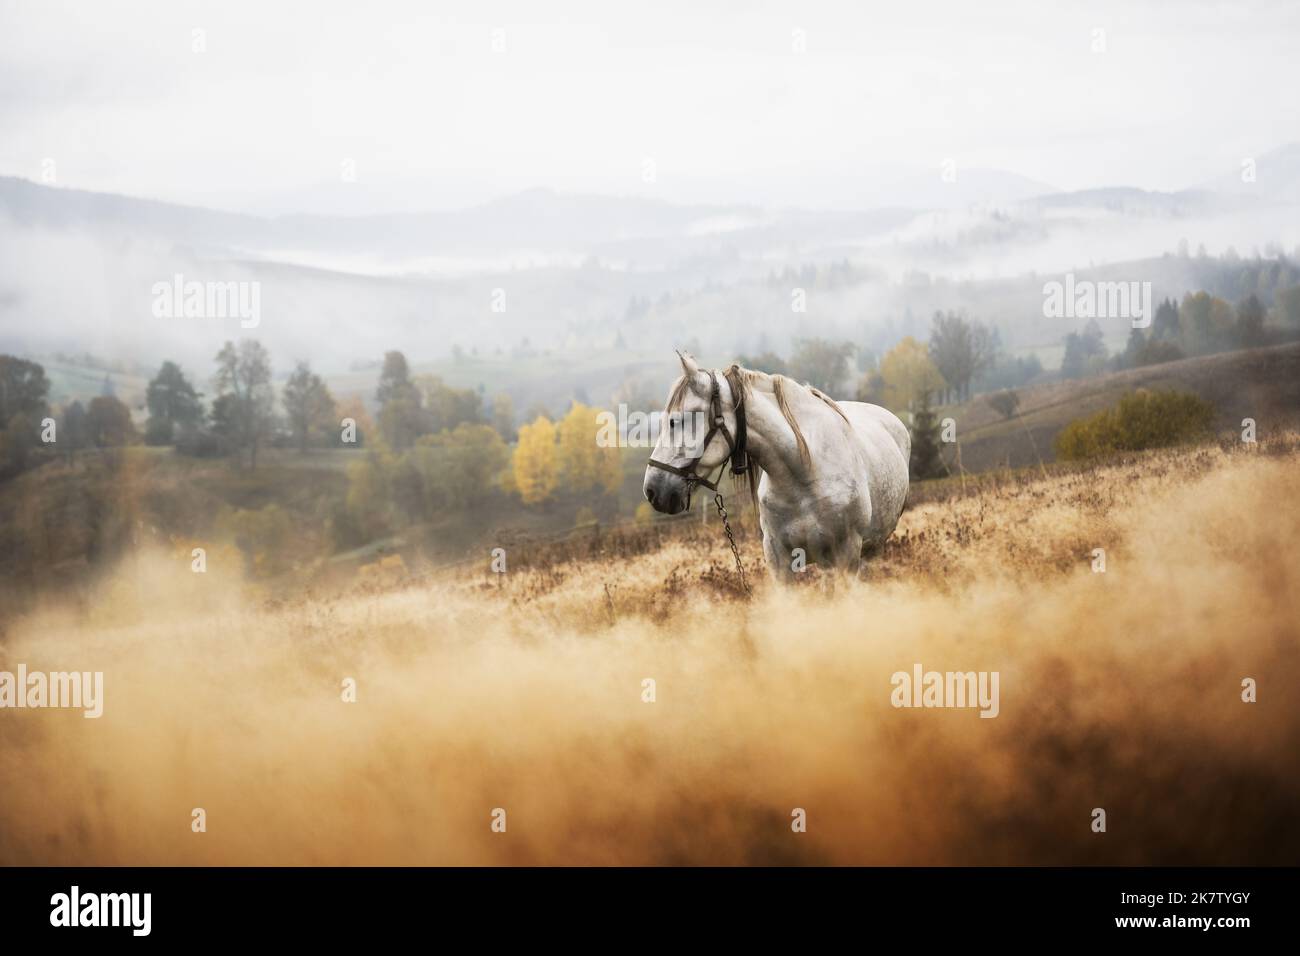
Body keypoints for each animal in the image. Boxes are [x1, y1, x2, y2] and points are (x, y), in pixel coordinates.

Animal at [642, 348, 909, 574]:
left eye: (677, 420)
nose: (652, 490)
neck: (804, 472)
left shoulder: (847, 555)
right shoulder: (778, 559)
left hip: (871, 550)